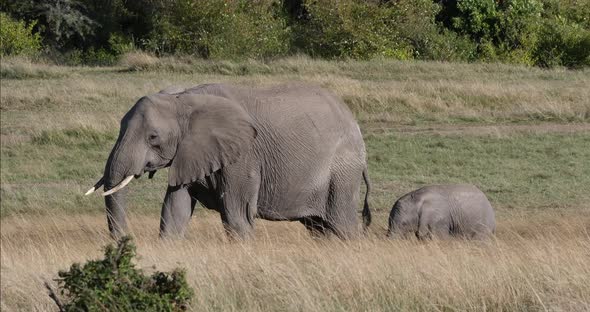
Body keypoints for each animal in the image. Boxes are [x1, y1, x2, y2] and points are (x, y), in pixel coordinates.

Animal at [85, 83, 372, 239]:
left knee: (341, 225)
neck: (183, 98)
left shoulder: (243, 157)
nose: (125, 240)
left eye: (153, 137)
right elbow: (174, 210)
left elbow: (237, 215)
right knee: (319, 228)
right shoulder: (191, 153)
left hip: (342, 171)